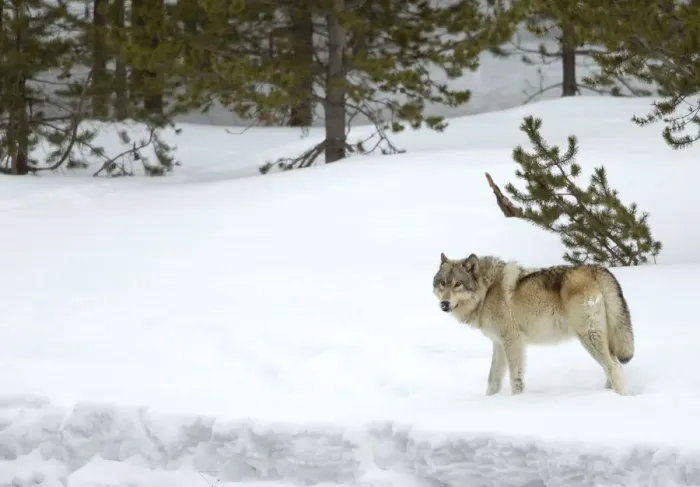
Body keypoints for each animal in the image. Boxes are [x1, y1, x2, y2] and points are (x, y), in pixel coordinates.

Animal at [432, 253, 634, 396]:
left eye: (458, 284)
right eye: (442, 283)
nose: (444, 304)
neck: (487, 291)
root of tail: (596, 268)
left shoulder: (512, 341)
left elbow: (515, 377)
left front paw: (517, 400)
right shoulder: (498, 343)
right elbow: (493, 379)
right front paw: (489, 400)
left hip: (588, 336)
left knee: (613, 367)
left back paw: (619, 397)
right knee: (615, 365)